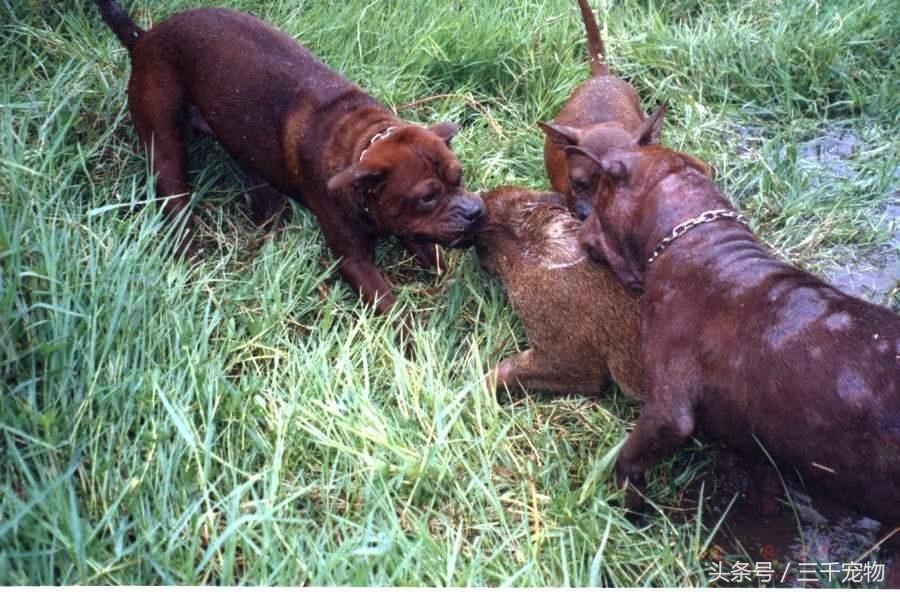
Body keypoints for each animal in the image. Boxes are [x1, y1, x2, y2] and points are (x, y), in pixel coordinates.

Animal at [95, 1, 486, 314]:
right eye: (426, 197)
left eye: (460, 177)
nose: (476, 211)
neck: (362, 143)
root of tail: (144, 37)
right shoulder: (354, 261)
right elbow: (394, 311)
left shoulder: (411, 230)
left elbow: (436, 260)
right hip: (165, 149)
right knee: (176, 202)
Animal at [576, 127, 900, 536]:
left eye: (599, 195)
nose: (579, 220)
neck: (696, 239)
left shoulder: (668, 411)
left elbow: (629, 460)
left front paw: (628, 511)